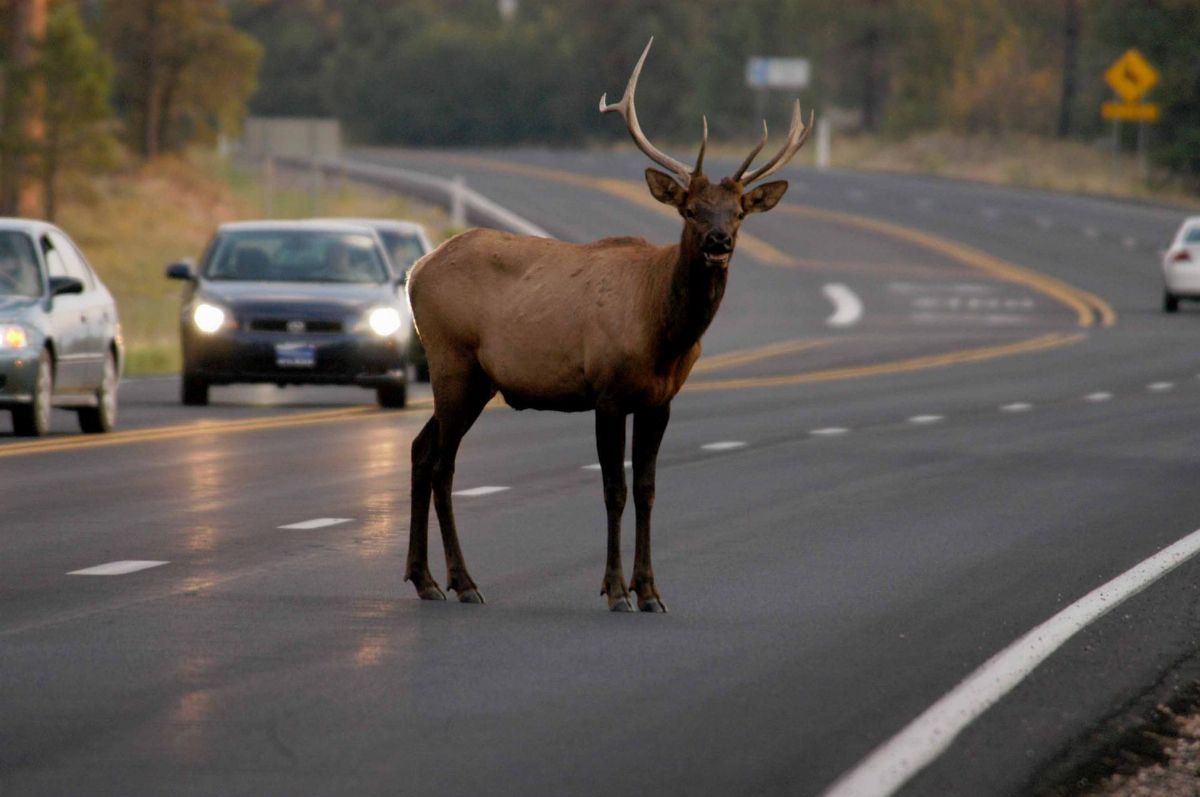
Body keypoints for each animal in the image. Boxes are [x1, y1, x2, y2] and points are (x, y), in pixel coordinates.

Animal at [408, 39, 811, 609]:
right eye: (690, 209)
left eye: (738, 212)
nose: (719, 243)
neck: (663, 335)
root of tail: (415, 270)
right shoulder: (607, 391)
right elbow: (613, 490)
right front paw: (616, 589)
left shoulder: (660, 400)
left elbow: (647, 489)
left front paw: (651, 590)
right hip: (453, 363)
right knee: (443, 464)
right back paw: (464, 583)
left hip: (477, 379)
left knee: (421, 451)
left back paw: (424, 580)